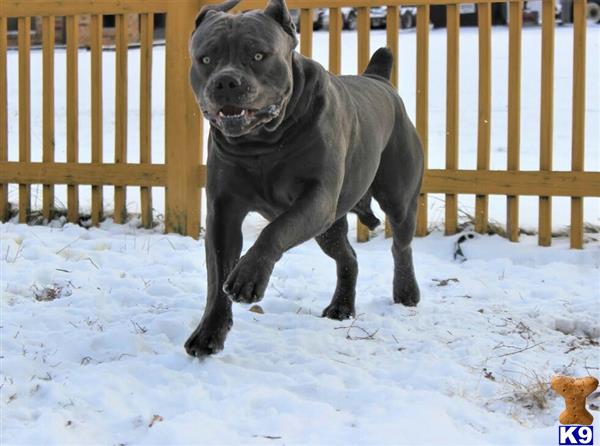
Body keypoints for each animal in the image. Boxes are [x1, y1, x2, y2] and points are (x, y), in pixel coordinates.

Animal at [185, 0, 424, 358]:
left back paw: (406, 292)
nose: (226, 82)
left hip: (397, 198)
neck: (262, 142)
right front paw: (208, 333)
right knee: (348, 258)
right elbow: (217, 276)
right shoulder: (223, 211)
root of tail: (378, 79)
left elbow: (274, 230)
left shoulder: (316, 198)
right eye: (206, 59)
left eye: (258, 55)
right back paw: (341, 307)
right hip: (329, 228)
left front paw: (248, 278)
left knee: (401, 245)